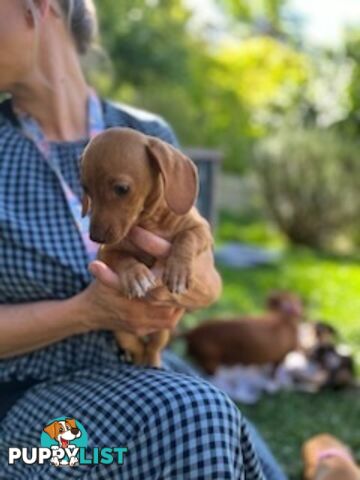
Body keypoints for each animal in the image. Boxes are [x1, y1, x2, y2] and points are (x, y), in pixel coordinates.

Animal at [80, 127, 212, 368]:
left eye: (121, 189)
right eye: (86, 189)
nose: (95, 237)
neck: (150, 222)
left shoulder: (202, 229)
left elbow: (187, 237)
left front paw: (178, 271)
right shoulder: (107, 252)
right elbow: (122, 258)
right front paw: (135, 276)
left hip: (163, 332)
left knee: (152, 347)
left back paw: (152, 361)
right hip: (122, 333)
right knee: (137, 347)